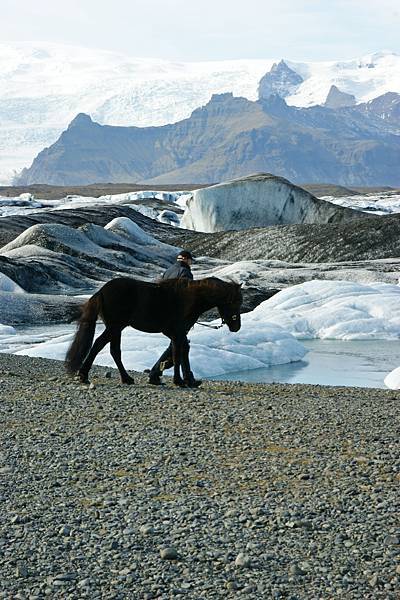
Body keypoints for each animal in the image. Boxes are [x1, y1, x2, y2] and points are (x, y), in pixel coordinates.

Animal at [64, 276, 242, 384]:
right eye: (233, 302)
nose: (236, 327)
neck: (189, 298)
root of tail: (102, 291)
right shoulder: (178, 332)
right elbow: (178, 354)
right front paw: (180, 381)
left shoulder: (176, 334)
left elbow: (181, 352)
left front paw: (187, 380)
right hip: (115, 327)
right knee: (98, 345)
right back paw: (84, 375)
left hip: (116, 328)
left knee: (114, 351)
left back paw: (126, 378)